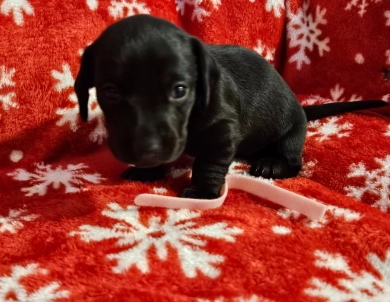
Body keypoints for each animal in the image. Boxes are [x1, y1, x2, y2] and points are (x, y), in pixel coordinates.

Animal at [74, 14, 388, 199]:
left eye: (180, 90)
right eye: (110, 91)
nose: (145, 149)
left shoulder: (222, 131)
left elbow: (208, 164)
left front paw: (203, 191)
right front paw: (147, 170)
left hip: (291, 135)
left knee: (293, 162)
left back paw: (272, 164)